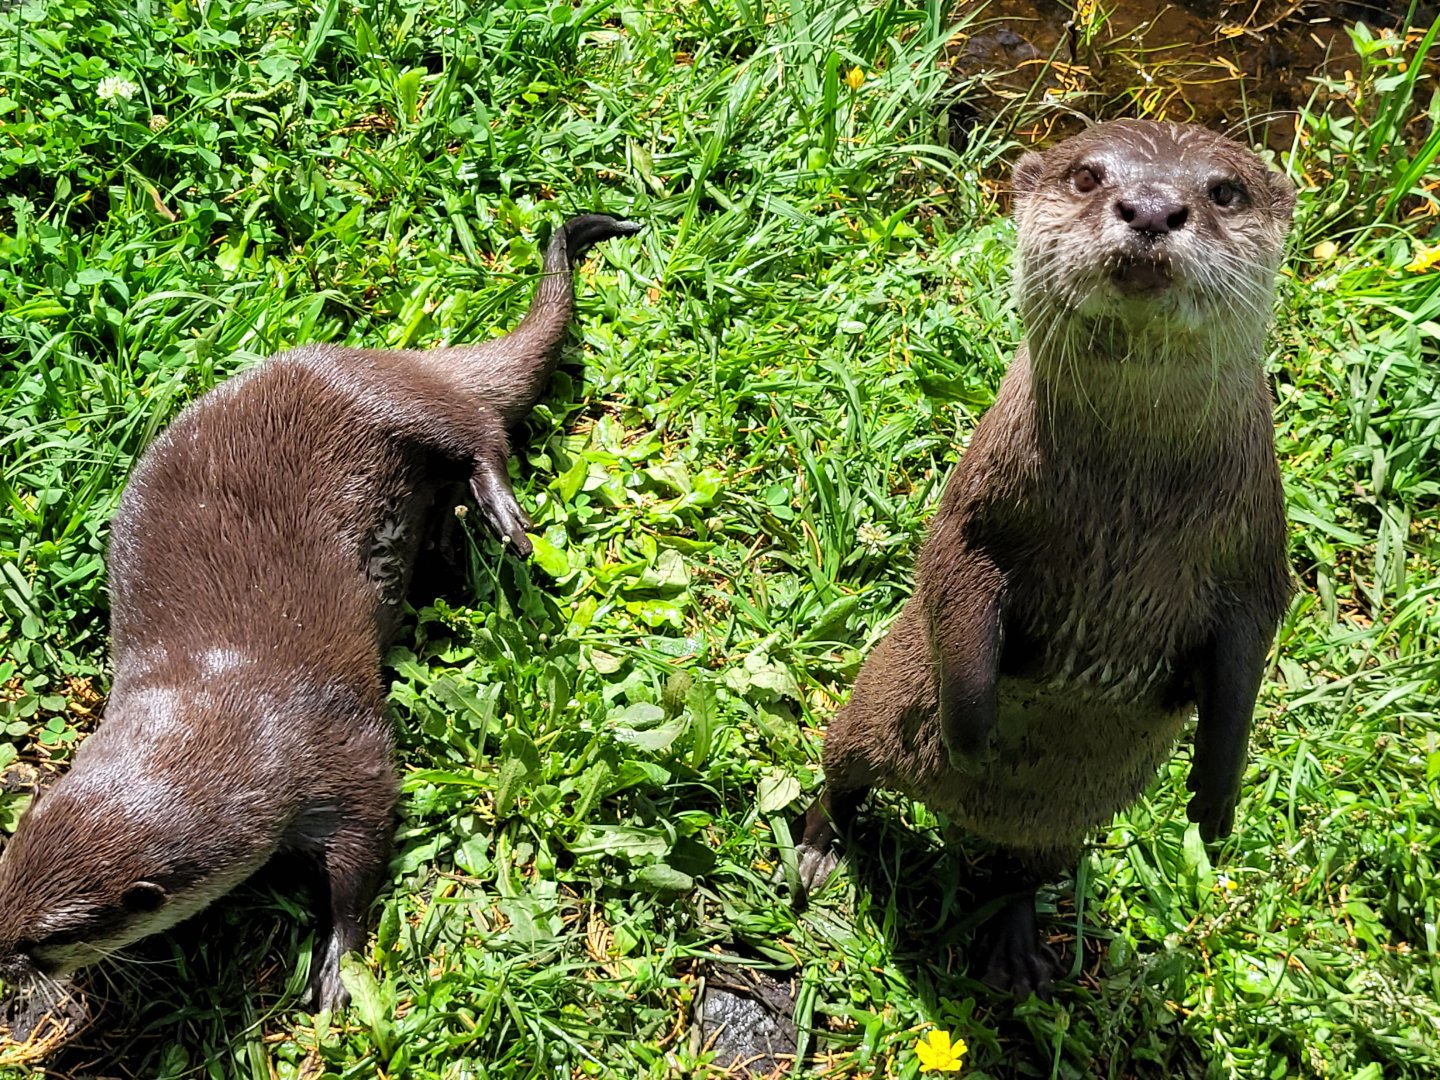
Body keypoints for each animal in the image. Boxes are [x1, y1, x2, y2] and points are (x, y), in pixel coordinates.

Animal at [0, 213, 641, 1013]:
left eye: (46, 940)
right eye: (0, 882)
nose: (3, 958)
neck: (232, 713)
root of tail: (400, 358)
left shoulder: (343, 751)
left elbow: (364, 847)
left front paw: (339, 959)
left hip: (392, 404)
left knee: (476, 431)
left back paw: (502, 516)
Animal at [789, 120, 1295, 995]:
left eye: (1225, 191)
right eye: (1088, 176)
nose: (1152, 207)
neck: (1133, 497)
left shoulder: (1257, 554)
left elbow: (1248, 654)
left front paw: (1214, 801)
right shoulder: (977, 510)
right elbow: (952, 579)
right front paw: (972, 737)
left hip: (1067, 830)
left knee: (1024, 872)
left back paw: (1017, 950)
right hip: (867, 709)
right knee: (842, 774)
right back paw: (821, 850)